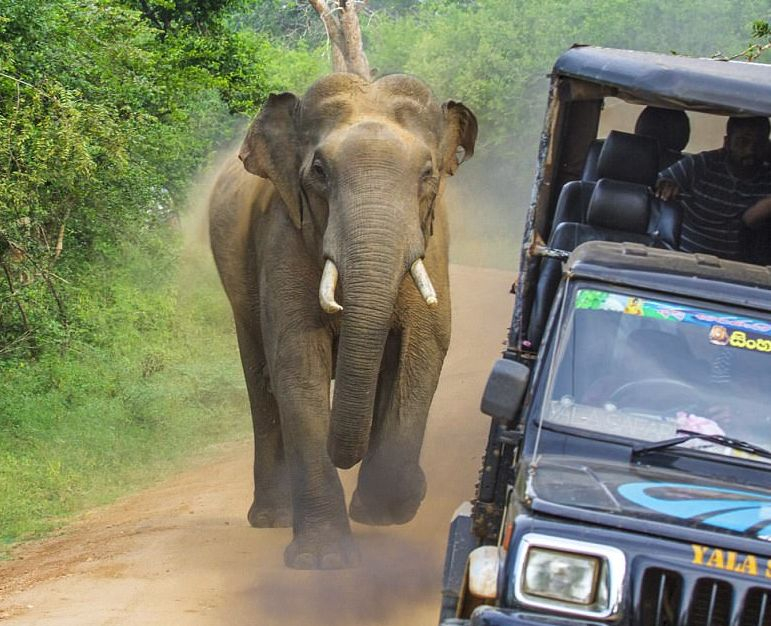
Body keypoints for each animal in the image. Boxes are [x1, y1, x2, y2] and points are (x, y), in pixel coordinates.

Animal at [208, 72, 477, 569]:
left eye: (427, 174)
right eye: (319, 171)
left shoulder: (433, 243)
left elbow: (424, 348)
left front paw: (392, 506)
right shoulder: (282, 233)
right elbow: (297, 363)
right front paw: (322, 561)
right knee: (260, 380)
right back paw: (272, 518)